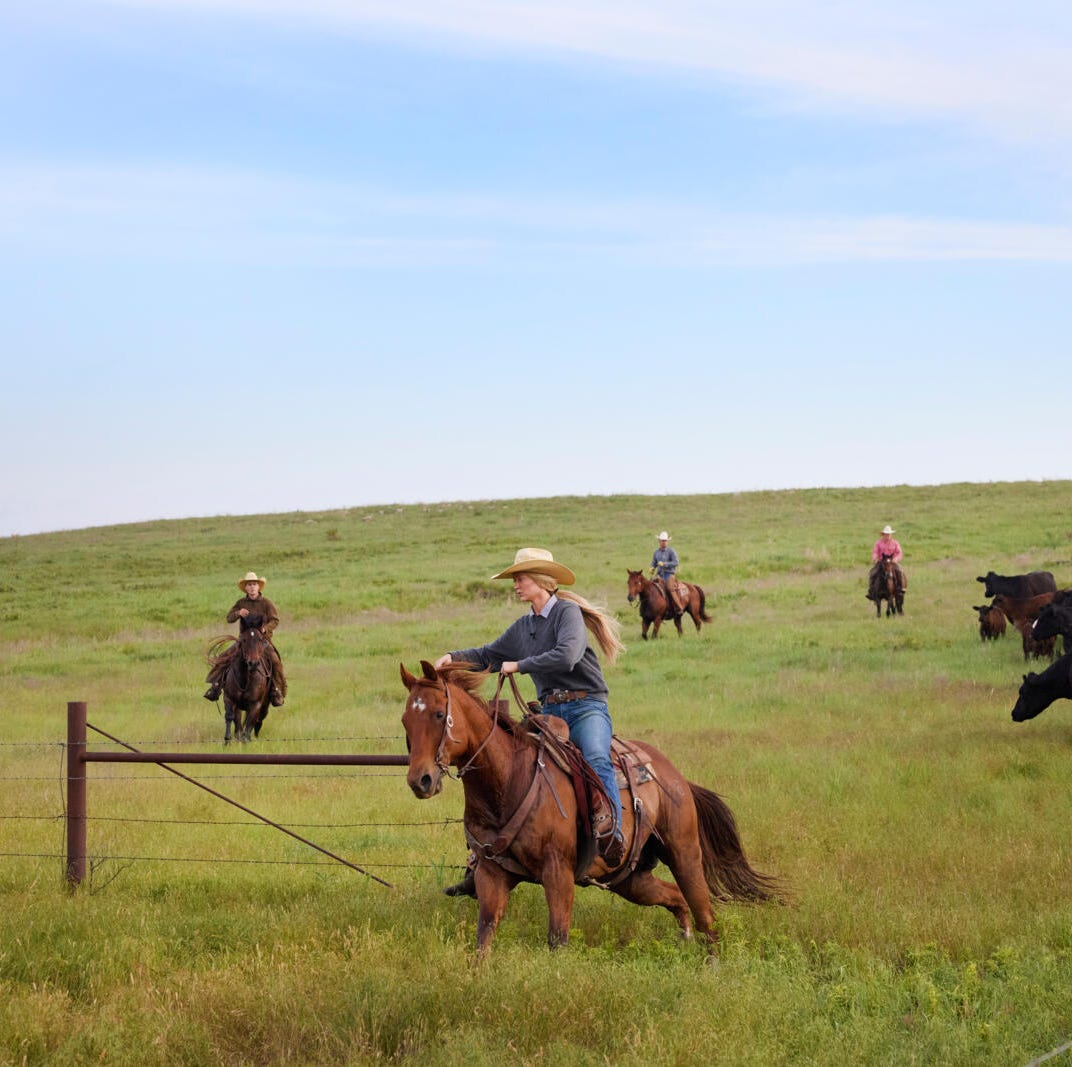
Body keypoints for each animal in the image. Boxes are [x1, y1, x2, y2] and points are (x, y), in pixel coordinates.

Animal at [396, 660, 780, 960]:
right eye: (405, 721)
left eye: (439, 714)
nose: (420, 780)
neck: (507, 781)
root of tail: (675, 777)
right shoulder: (491, 874)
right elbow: (484, 938)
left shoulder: (558, 872)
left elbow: (557, 939)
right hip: (629, 878)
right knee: (674, 897)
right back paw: (684, 941)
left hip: (684, 851)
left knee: (703, 908)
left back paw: (711, 962)